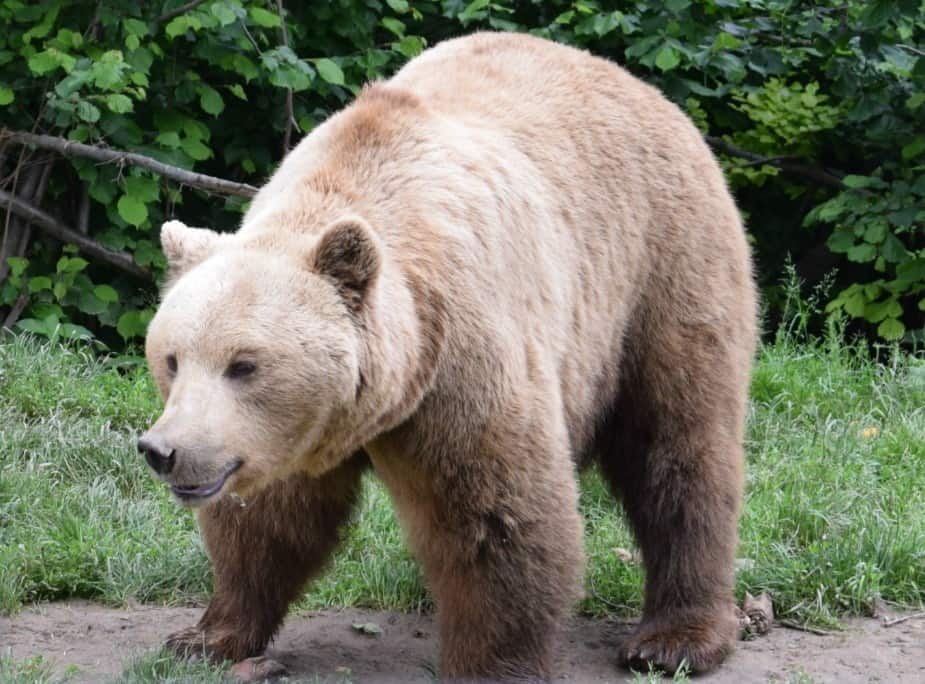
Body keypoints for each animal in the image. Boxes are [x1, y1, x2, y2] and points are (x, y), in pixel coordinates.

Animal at [139, 31, 757, 682]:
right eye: (173, 358)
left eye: (244, 364)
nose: (164, 450)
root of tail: (640, 87)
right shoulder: (286, 435)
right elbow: (265, 518)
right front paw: (207, 636)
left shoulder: (459, 358)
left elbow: (496, 516)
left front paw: (492, 664)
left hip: (660, 271)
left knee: (679, 447)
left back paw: (675, 638)